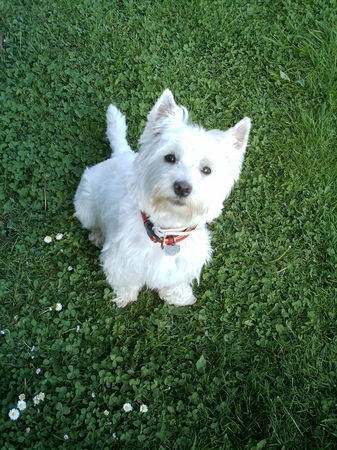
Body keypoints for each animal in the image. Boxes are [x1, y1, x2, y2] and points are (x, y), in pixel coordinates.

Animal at [75, 89, 251, 308]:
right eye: (170, 157)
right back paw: (98, 235)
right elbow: (125, 281)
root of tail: (120, 154)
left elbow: (175, 283)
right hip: (85, 205)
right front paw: (125, 298)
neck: (167, 230)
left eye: (207, 170)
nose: (182, 187)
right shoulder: (121, 259)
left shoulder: (181, 265)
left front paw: (179, 297)